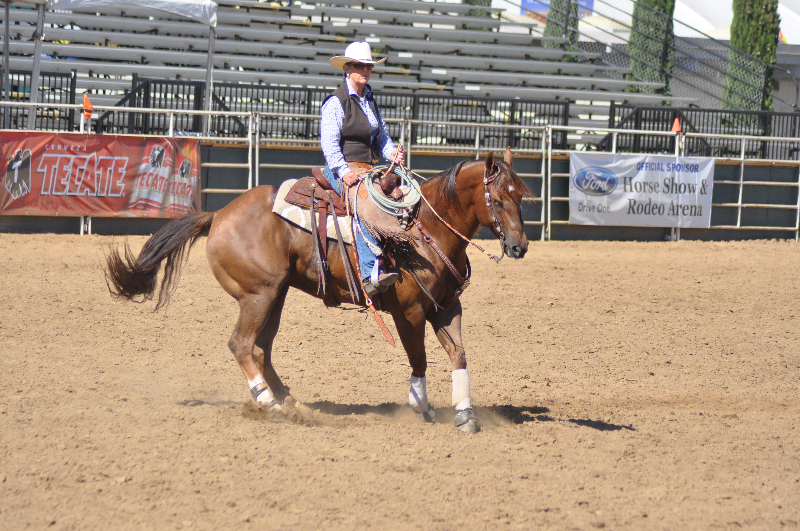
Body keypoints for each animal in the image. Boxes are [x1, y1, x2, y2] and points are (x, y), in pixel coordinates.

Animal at [105, 148, 530, 433]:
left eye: (521, 195)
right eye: (498, 198)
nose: (519, 247)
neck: (425, 231)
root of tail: (218, 214)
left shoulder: (446, 307)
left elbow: (458, 355)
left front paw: (465, 413)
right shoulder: (408, 312)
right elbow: (419, 360)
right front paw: (421, 406)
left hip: (275, 295)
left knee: (261, 349)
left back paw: (291, 403)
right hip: (258, 295)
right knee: (241, 344)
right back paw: (269, 404)